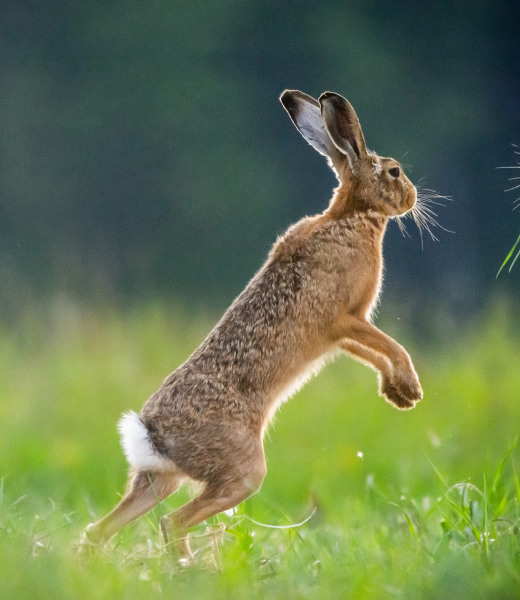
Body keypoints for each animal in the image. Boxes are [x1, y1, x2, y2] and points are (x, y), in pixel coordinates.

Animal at [80, 90, 423, 559]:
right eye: (394, 171)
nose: (412, 197)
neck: (351, 217)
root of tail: (152, 435)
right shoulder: (344, 318)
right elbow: (389, 345)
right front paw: (410, 390)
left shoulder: (340, 334)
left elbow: (373, 352)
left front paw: (395, 393)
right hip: (242, 472)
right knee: (173, 521)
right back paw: (190, 567)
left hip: (159, 479)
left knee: (103, 529)